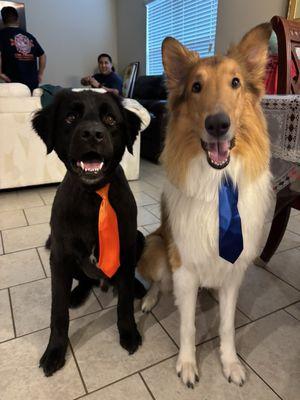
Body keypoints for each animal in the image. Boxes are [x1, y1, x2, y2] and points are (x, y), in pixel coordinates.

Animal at [32, 90, 145, 376]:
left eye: (110, 119)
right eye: (71, 117)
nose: (93, 134)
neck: (94, 198)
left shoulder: (127, 247)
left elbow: (124, 302)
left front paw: (128, 332)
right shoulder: (60, 257)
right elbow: (58, 312)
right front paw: (55, 350)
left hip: (139, 239)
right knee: (85, 280)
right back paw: (77, 294)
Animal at [137, 22, 274, 388]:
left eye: (235, 82)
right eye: (196, 87)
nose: (217, 125)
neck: (218, 182)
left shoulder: (234, 272)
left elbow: (227, 326)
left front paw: (231, 364)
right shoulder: (184, 268)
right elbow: (187, 325)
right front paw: (187, 364)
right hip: (156, 247)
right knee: (157, 282)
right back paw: (148, 299)